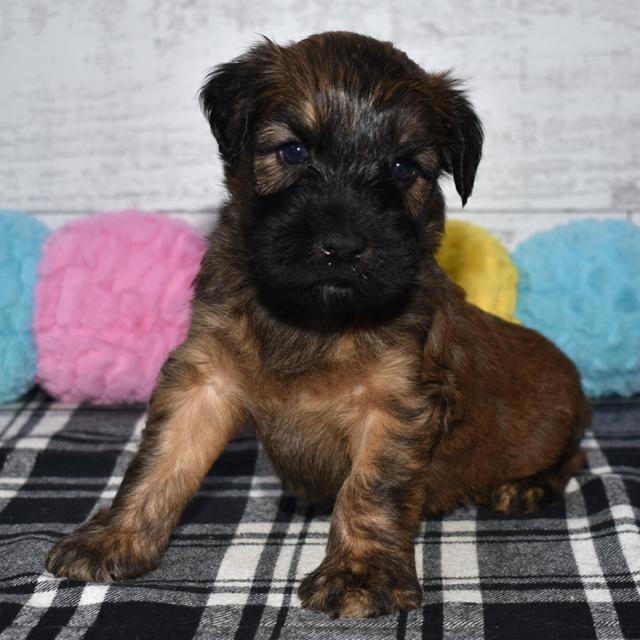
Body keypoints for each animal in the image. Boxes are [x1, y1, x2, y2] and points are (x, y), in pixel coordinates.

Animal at [48, 32, 592, 616]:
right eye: (294, 151)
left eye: (404, 168)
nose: (343, 247)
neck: (310, 320)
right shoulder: (203, 380)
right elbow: (158, 462)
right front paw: (114, 537)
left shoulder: (395, 405)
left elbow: (370, 490)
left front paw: (359, 574)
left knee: (574, 457)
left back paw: (527, 487)